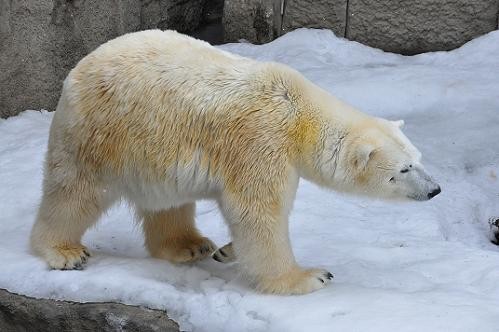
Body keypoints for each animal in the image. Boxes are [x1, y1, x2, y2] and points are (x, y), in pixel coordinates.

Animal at [30, 29, 442, 294]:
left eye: (418, 158)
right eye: (404, 169)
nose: (436, 189)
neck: (300, 115)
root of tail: (77, 70)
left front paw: (228, 251)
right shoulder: (261, 141)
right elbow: (258, 213)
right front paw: (310, 277)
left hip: (153, 148)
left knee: (168, 201)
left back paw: (190, 245)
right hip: (102, 133)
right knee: (75, 192)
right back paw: (64, 252)